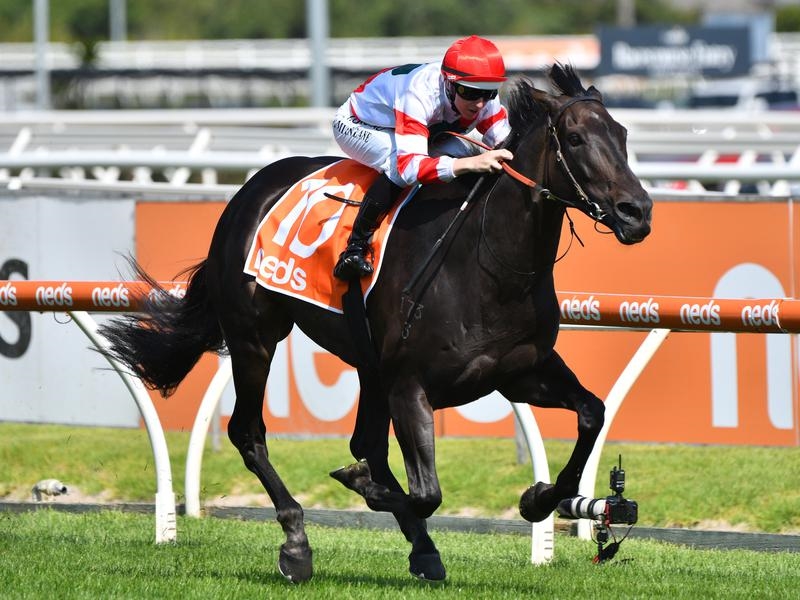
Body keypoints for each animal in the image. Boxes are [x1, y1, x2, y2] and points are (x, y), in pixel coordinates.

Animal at [99, 64, 652, 583]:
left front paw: (538, 498)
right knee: (249, 433)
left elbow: (592, 413)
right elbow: (425, 492)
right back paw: (297, 542)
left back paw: (418, 547)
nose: (638, 212)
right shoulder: (410, 383)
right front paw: (361, 487)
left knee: (365, 443)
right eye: (575, 138)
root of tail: (247, 192)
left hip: (367, 364)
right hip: (256, 337)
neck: (489, 262)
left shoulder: (518, 372)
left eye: (623, 134)